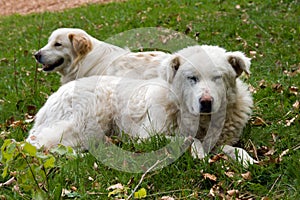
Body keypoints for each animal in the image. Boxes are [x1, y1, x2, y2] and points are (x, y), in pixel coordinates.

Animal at [28, 45, 256, 166]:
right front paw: (198, 153)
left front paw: (247, 160)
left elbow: (232, 148)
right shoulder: (147, 138)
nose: (206, 102)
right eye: (191, 78)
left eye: (218, 78)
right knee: (41, 143)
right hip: (89, 118)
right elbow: (189, 140)